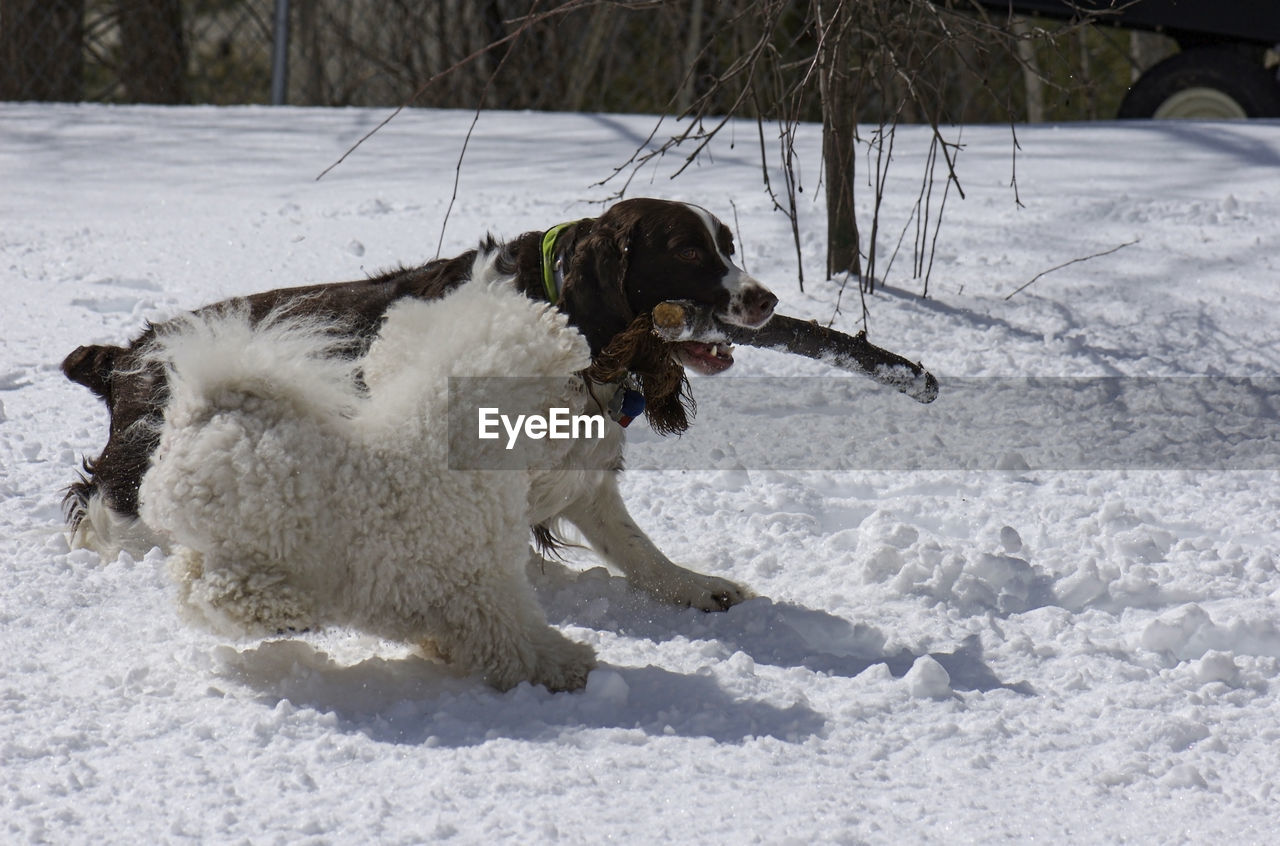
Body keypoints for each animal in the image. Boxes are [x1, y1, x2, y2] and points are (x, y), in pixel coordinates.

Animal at [60, 198, 773, 624]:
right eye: (688, 251)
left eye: (729, 246)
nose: (765, 300)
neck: (554, 309)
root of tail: (126, 355)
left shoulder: (576, 466)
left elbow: (635, 546)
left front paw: (697, 587)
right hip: (142, 478)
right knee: (105, 520)